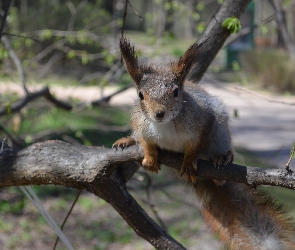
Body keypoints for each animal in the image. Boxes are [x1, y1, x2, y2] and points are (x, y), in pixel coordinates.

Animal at [113, 37, 295, 250]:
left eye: (176, 92)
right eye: (141, 95)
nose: (159, 113)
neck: (164, 125)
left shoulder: (202, 122)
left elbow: (195, 146)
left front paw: (188, 162)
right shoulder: (140, 125)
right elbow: (146, 142)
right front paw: (150, 157)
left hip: (220, 134)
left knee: (220, 172)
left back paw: (221, 160)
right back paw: (127, 140)